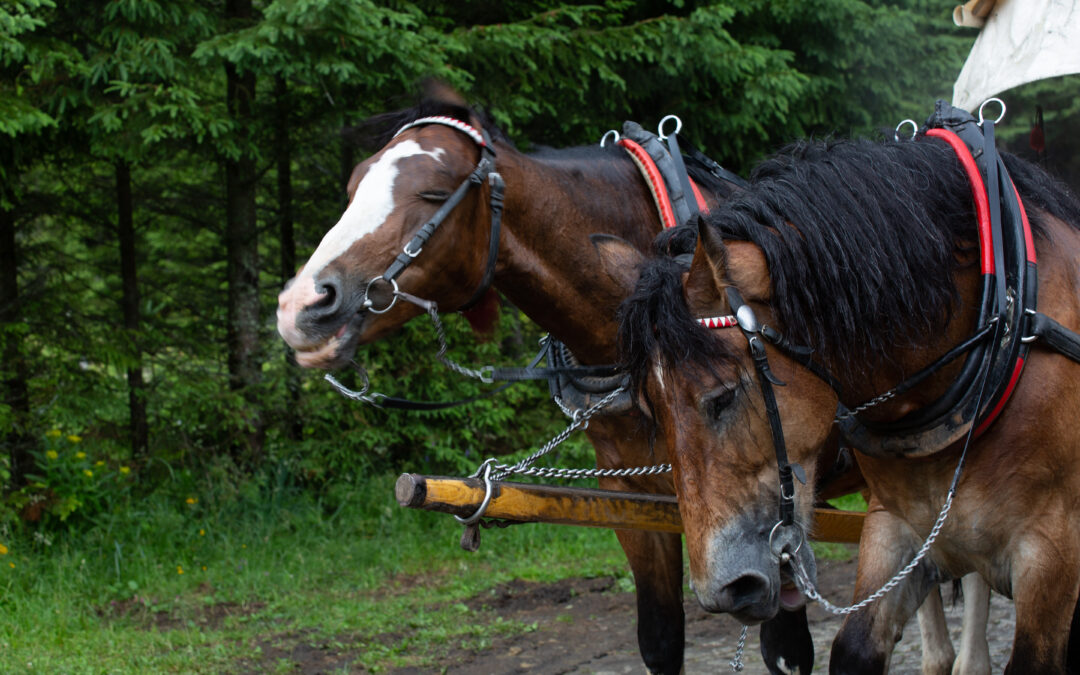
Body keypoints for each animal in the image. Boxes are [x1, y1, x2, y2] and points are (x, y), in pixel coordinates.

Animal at [613, 115, 1080, 669]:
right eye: (651, 414)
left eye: (722, 396)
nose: (725, 591)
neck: (1005, 321)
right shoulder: (897, 528)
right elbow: (855, 646)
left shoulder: (1052, 555)